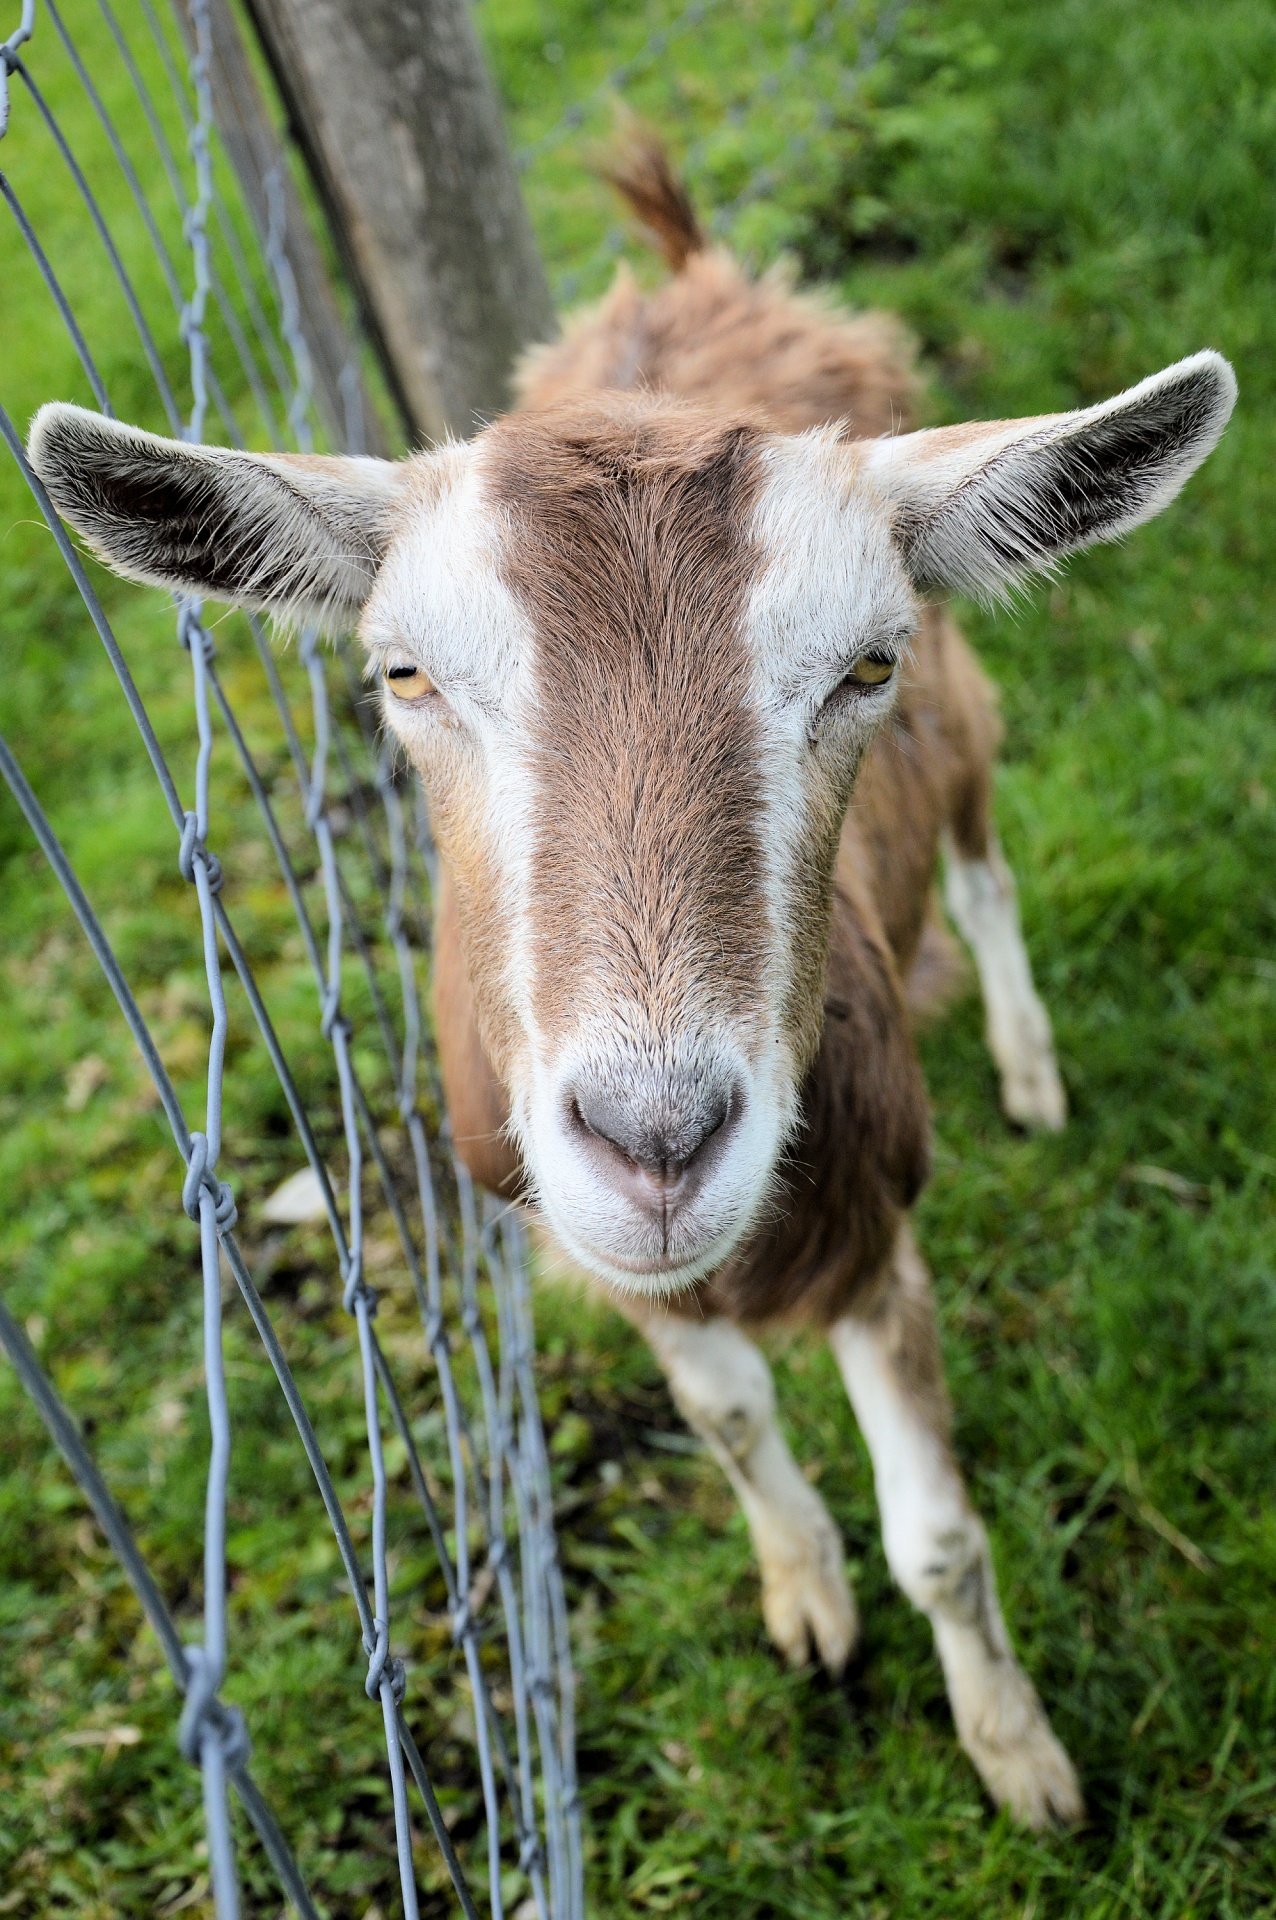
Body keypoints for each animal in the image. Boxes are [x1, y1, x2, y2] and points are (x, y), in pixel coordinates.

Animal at [22, 139, 1235, 1827]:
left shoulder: (879, 1214)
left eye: (865, 662)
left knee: (985, 872)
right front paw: (807, 1599)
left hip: (968, 725)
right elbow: (726, 1417)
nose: (657, 1144)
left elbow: (939, 1539)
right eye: (401, 672)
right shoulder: (575, 1234)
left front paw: (1021, 1761)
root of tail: (691, 268)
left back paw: (1030, 1064)